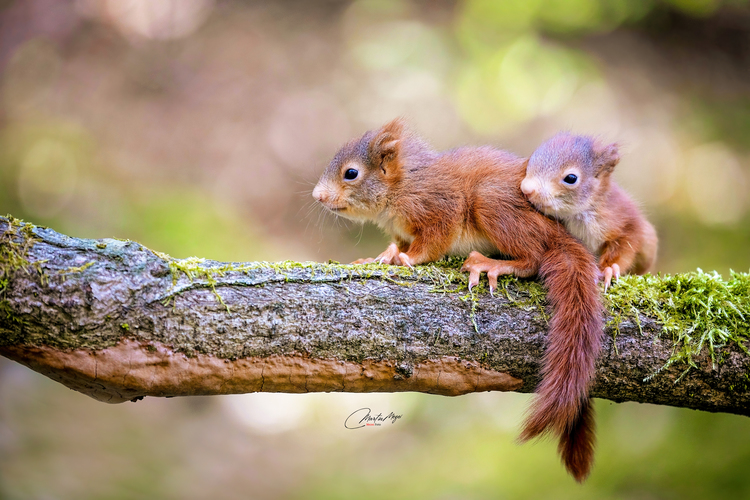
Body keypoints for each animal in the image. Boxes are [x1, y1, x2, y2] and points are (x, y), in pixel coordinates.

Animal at [314, 119, 608, 482]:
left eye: (351, 173)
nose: (317, 196)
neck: (404, 184)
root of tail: (560, 234)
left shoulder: (438, 205)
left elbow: (432, 242)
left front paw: (407, 258)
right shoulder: (402, 229)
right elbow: (397, 244)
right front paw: (381, 256)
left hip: (491, 203)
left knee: (534, 259)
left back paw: (492, 264)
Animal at [524, 133, 656, 290]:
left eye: (571, 178)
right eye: (529, 161)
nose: (526, 189)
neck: (578, 215)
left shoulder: (625, 223)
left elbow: (624, 249)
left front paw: (609, 269)